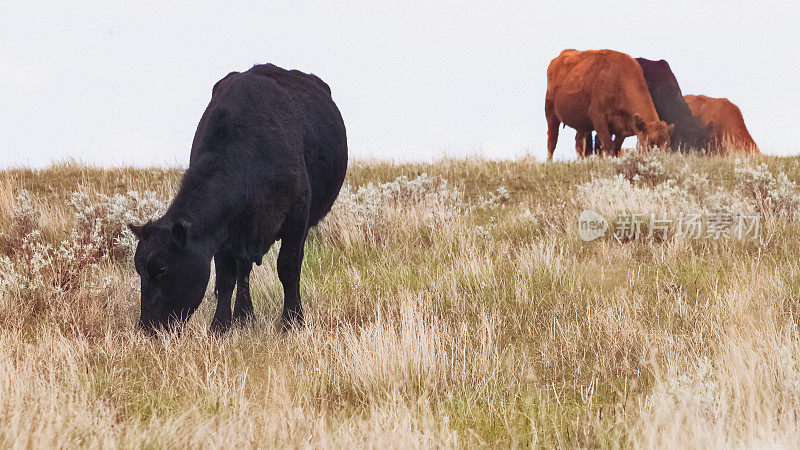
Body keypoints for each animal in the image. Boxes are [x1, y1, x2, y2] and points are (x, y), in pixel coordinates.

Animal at [128, 63, 346, 332]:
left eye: (161, 269)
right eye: (138, 269)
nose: (147, 327)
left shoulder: (297, 217)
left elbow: (288, 269)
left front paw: (292, 321)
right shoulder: (222, 234)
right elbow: (225, 279)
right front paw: (220, 326)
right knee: (244, 270)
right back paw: (244, 315)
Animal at [544, 48, 676, 158]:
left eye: (667, 146)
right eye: (651, 144)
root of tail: (561, 55)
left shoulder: (622, 130)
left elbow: (615, 149)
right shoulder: (598, 118)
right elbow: (608, 147)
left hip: (580, 122)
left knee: (579, 144)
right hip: (551, 114)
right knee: (552, 142)